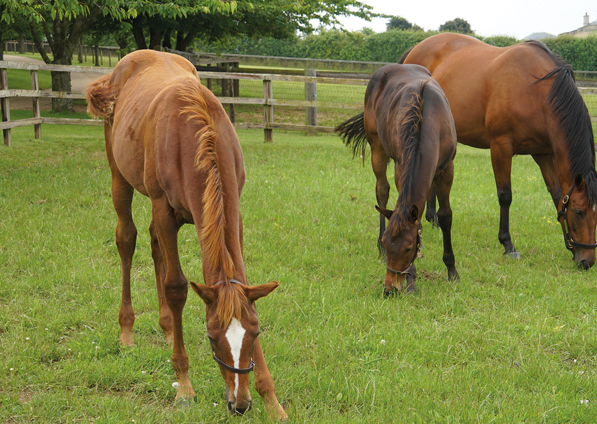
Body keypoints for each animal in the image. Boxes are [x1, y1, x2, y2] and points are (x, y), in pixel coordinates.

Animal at [85, 50, 288, 420]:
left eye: (255, 333)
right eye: (211, 337)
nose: (239, 404)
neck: (198, 134)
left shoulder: (234, 214)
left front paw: (272, 401)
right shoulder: (164, 209)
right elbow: (176, 286)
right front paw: (184, 386)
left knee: (154, 245)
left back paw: (168, 329)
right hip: (119, 175)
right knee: (127, 239)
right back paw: (127, 331)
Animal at [338, 63, 458, 294]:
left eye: (409, 247)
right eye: (387, 243)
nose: (389, 288)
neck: (430, 119)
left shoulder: (447, 169)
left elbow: (445, 215)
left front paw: (452, 270)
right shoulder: (400, 166)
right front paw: (412, 278)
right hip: (377, 147)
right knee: (382, 190)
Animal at [400, 33, 596, 268]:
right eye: (579, 211)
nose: (587, 261)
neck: (536, 91)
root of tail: (415, 49)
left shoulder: (544, 154)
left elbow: (557, 195)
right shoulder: (501, 147)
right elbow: (505, 196)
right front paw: (507, 244)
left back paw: (433, 219)